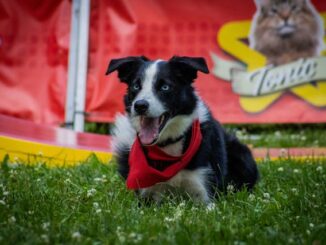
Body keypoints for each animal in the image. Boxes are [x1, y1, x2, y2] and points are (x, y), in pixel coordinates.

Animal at [107, 56, 260, 205]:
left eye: (165, 87)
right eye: (136, 86)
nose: (140, 105)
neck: (168, 148)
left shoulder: (205, 194)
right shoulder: (147, 197)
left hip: (242, 155)